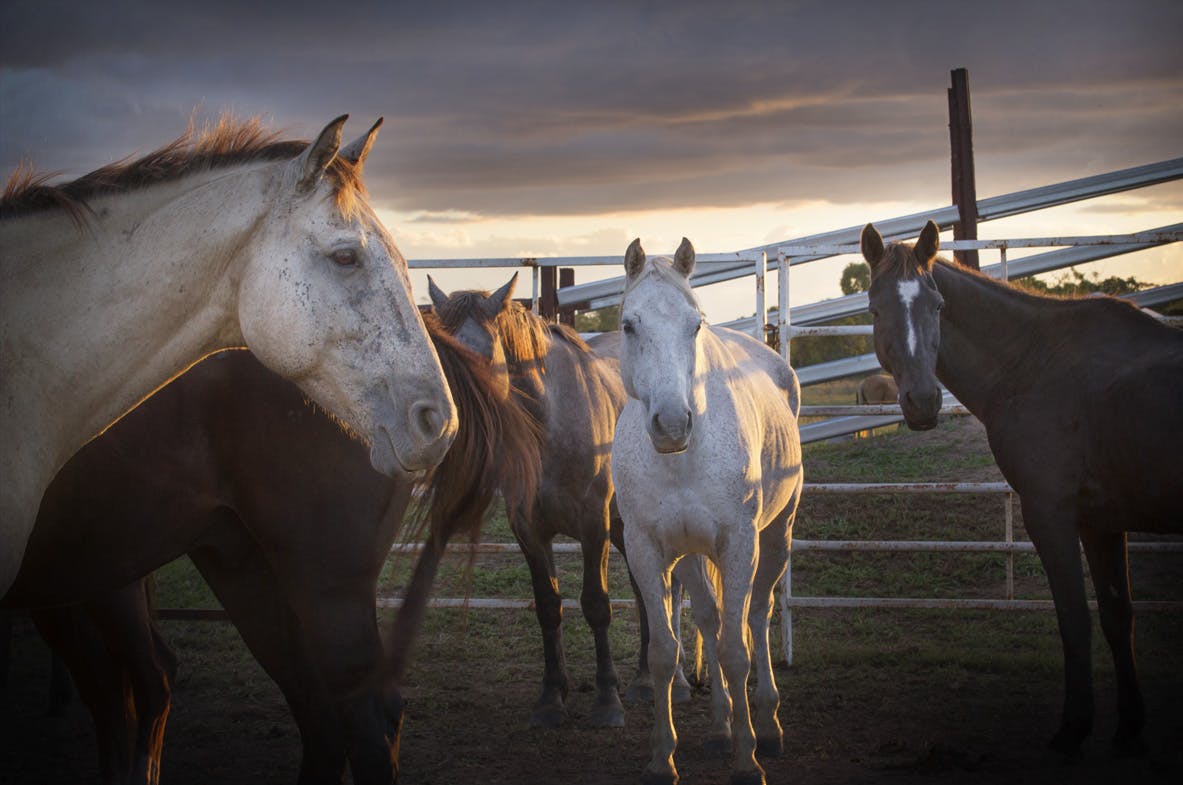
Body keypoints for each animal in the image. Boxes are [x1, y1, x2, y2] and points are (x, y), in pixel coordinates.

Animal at [610, 237, 804, 785]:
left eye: (694, 324)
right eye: (629, 324)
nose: (673, 424)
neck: (683, 461)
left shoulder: (740, 543)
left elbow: (737, 652)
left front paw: (748, 761)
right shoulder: (646, 550)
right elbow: (664, 652)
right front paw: (662, 759)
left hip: (775, 537)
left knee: (756, 616)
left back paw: (769, 727)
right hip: (694, 555)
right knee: (712, 620)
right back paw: (719, 729)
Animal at [861, 221, 1183, 761]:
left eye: (938, 306)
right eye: (875, 309)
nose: (923, 403)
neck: (1034, 361)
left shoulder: (1048, 515)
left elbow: (1074, 619)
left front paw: (1073, 729)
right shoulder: (1099, 522)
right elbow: (1117, 617)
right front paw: (1129, 729)